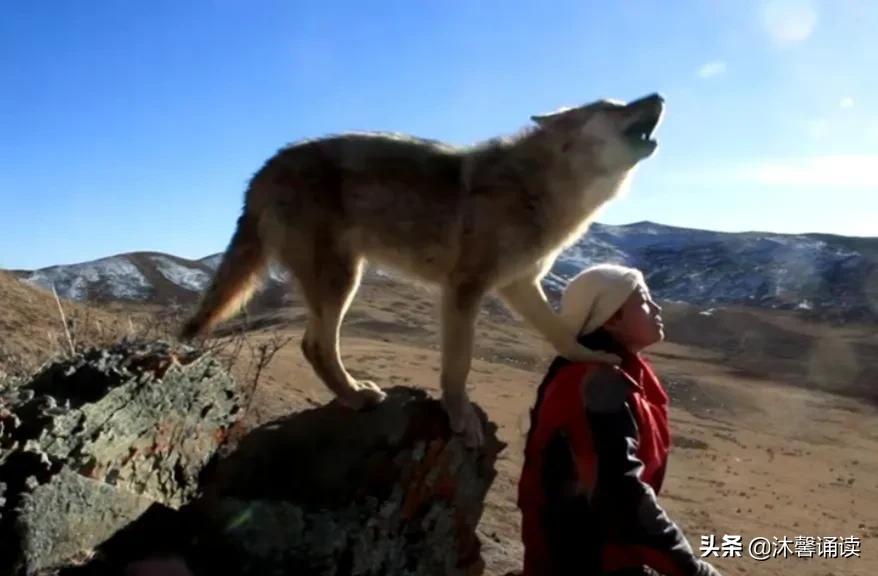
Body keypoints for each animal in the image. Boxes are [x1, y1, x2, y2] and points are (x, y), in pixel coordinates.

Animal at [180, 93, 668, 446]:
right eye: (611, 106)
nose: (659, 95)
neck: (546, 189)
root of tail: (264, 169)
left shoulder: (520, 285)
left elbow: (560, 335)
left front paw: (592, 357)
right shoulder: (464, 289)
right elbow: (458, 365)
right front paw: (460, 418)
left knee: (311, 343)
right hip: (342, 280)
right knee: (315, 345)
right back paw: (358, 396)